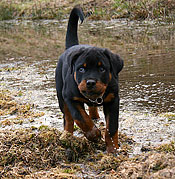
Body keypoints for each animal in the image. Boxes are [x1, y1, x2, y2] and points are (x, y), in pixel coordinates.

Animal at [55, 6, 123, 153]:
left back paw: (94, 116)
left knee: (91, 109)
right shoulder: (70, 98)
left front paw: (112, 149)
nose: (90, 82)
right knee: (68, 118)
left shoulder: (113, 100)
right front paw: (94, 134)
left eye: (102, 69)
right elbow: (81, 118)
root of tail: (71, 47)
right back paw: (67, 136)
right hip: (60, 96)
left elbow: (112, 127)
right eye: (81, 69)